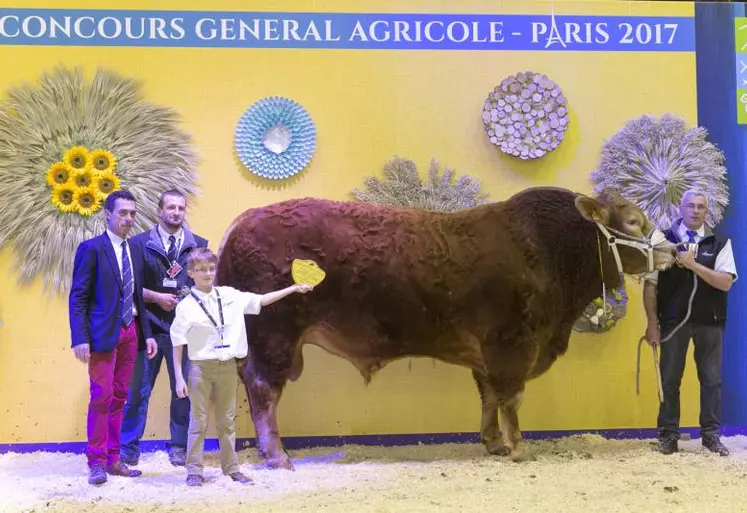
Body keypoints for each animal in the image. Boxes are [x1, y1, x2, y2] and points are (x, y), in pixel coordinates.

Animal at [216, 185, 676, 468]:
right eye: (633, 221)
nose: (672, 250)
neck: (549, 250)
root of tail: (244, 220)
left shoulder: (487, 354)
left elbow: (489, 398)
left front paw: (493, 442)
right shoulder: (511, 344)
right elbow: (511, 398)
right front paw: (518, 447)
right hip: (273, 336)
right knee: (263, 391)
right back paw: (277, 455)